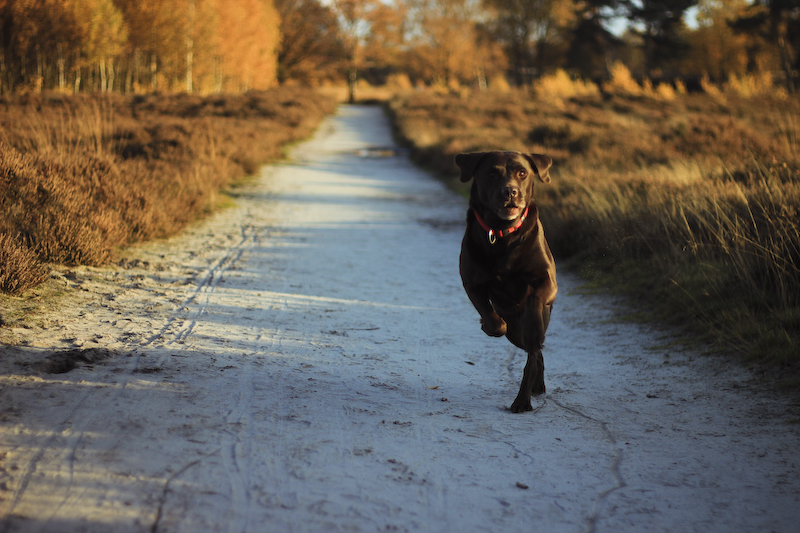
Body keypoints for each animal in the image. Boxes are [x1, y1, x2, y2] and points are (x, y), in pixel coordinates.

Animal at [456, 150, 556, 412]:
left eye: (522, 173)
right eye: (491, 173)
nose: (510, 192)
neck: (502, 233)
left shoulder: (548, 280)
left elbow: (535, 298)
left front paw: (532, 323)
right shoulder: (472, 283)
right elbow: (491, 319)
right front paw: (491, 325)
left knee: (534, 353)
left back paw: (523, 400)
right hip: (514, 334)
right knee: (534, 352)